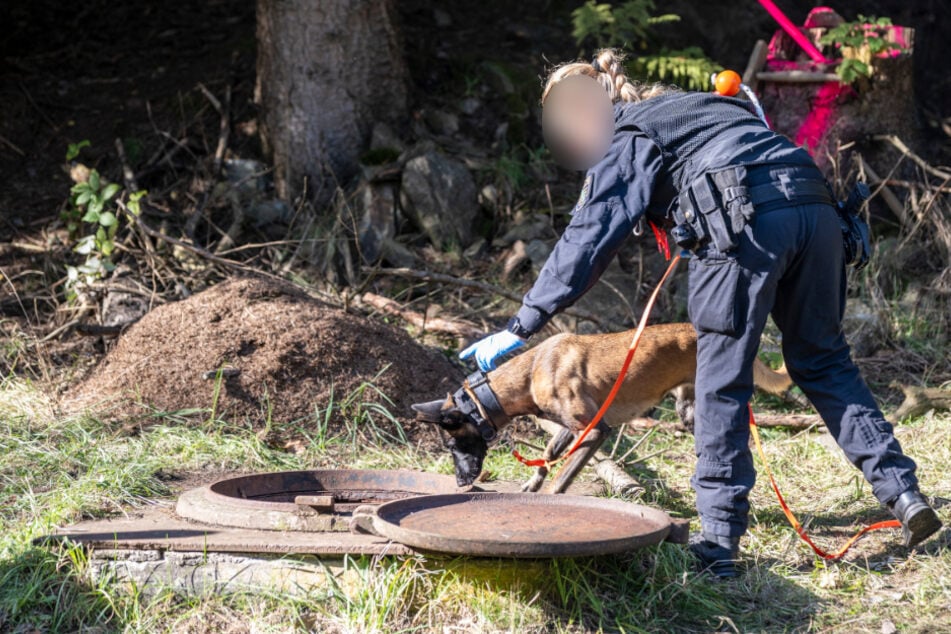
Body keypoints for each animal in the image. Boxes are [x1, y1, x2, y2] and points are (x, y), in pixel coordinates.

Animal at [416, 324, 796, 492]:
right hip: (687, 411)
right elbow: (548, 455)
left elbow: (563, 476)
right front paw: (531, 485)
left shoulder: (595, 430)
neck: (533, 370)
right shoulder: (569, 428)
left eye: (452, 445)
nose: (460, 481)